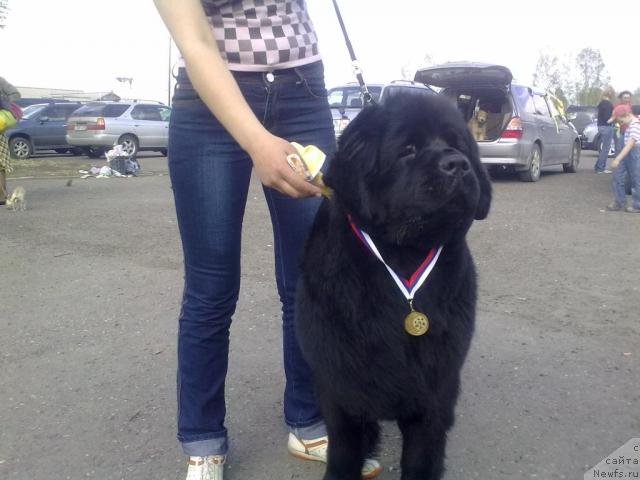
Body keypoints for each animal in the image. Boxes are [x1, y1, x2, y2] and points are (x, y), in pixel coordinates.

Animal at [294, 94, 490, 480]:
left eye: (459, 145)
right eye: (408, 150)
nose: (457, 165)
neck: (401, 262)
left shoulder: (433, 395)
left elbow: (421, 459)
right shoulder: (341, 390)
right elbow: (344, 452)